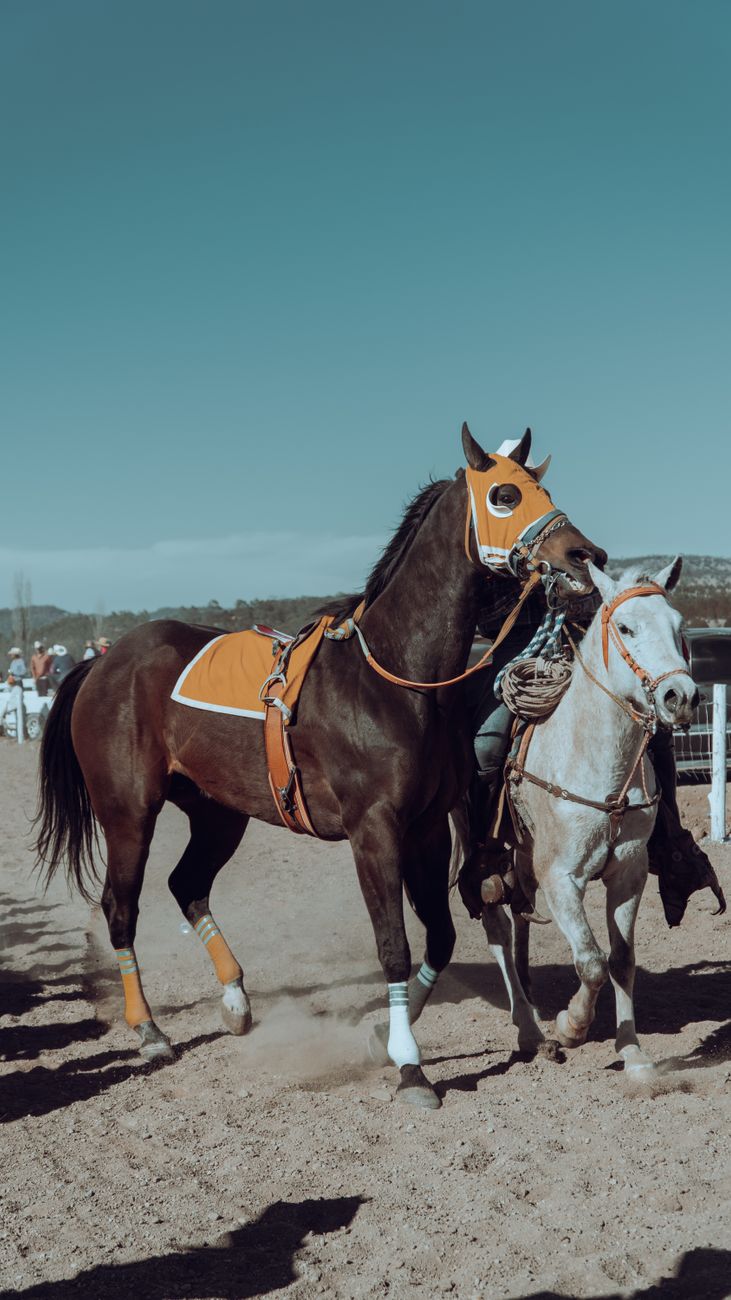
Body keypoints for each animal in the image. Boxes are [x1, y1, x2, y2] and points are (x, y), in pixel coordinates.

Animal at [35, 424, 605, 1108]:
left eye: (543, 488)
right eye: (503, 495)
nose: (585, 556)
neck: (394, 678)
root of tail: (105, 659)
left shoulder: (426, 828)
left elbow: (438, 938)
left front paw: (386, 1038)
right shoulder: (374, 831)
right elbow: (394, 947)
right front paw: (410, 1067)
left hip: (219, 814)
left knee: (187, 885)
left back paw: (236, 1000)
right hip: (128, 814)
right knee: (120, 910)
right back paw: (148, 1031)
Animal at [476, 557, 703, 1074]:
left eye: (679, 626)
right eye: (626, 627)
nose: (681, 697)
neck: (600, 766)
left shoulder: (629, 872)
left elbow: (620, 958)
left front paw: (632, 1053)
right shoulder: (561, 876)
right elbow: (592, 960)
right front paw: (571, 1026)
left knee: (519, 917)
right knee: (497, 924)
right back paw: (530, 1029)